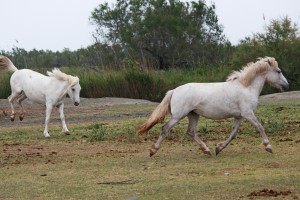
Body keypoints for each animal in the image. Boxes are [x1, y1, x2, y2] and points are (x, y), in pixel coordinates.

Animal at [139, 57, 290, 157]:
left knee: (191, 132)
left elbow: (233, 134)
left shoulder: (239, 116)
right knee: (165, 128)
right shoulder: (248, 113)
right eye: (278, 71)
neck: (246, 87)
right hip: (178, 116)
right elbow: (260, 127)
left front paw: (219, 148)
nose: (286, 85)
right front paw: (268, 147)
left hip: (193, 114)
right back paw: (153, 151)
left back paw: (206, 150)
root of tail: (174, 90)